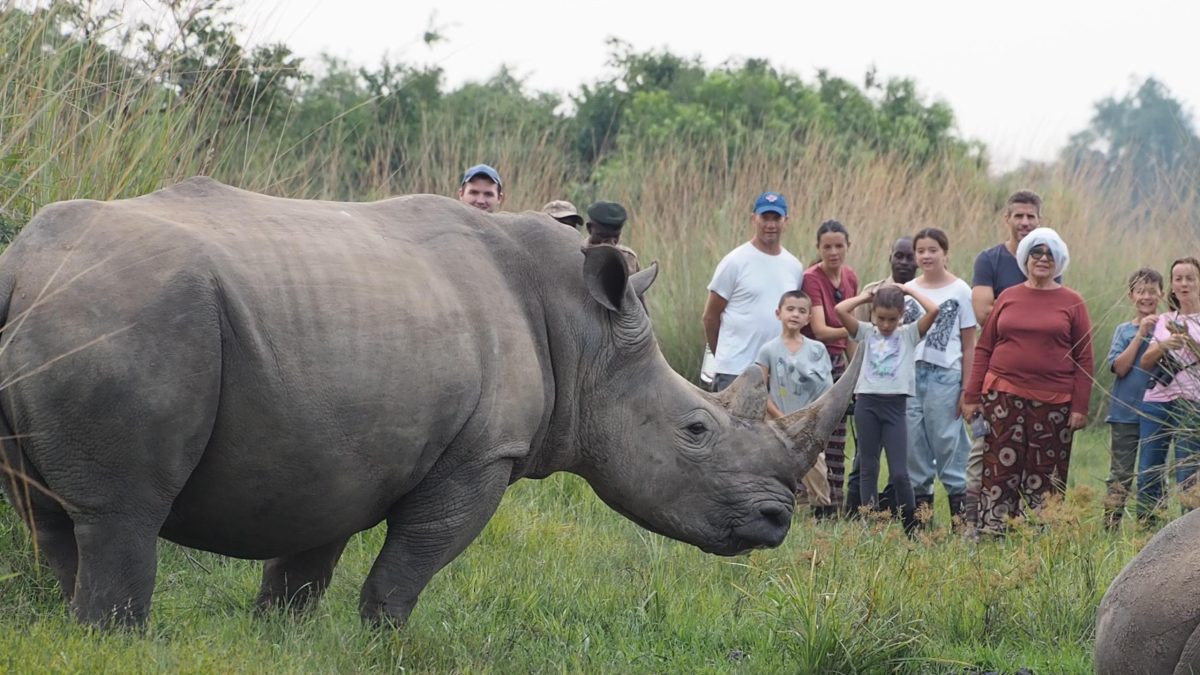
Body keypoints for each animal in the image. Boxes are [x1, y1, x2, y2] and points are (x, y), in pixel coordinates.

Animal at [0, 177, 858, 629]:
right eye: (695, 429)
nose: (777, 520)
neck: (588, 337)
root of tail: (23, 265)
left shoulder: (333, 445)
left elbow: (306, 556)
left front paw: (282, 634)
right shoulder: (479, 455)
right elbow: (413, 560)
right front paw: (378, 641)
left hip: (83, 308)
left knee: (43, 510)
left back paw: (64, 624)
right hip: (131, 315)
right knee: (121, 511)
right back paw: (117, 638)